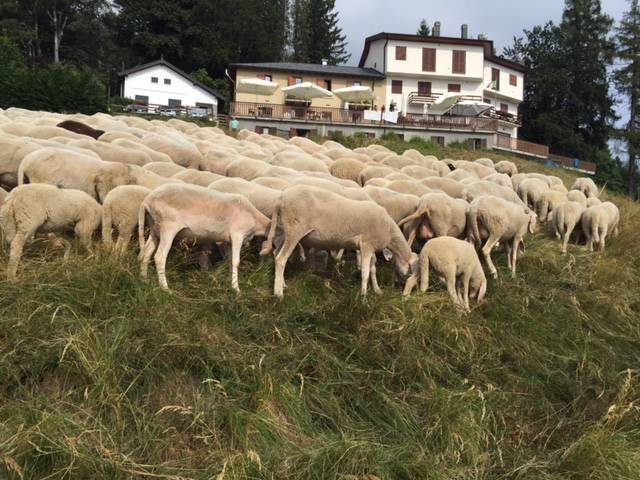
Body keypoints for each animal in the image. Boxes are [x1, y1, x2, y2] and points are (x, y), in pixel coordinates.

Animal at [139, 185, 272, 292]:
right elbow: (236, 262)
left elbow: (229, 261)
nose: (263, 271)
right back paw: (165, 289)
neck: (255, 218)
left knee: (146, 253)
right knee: (160, 257)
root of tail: (146, 201)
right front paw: (236, 289)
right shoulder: (237, 235)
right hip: (168, 227)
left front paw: (229, 283)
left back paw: (144, 280)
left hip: (155, 228)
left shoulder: (229, 241)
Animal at [260, 186, 420, 298]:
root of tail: (281, 199)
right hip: (295, 230)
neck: (390, 232)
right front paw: (363, 297)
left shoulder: (371, 247)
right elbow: (365, 273)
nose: (401, 286)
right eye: (412, 271)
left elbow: (373, 269)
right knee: (281, 259)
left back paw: (283, 284)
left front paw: (377, 290)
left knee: (276, 254)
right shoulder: (366, 245)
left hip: (285, 230)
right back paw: (278, 293)